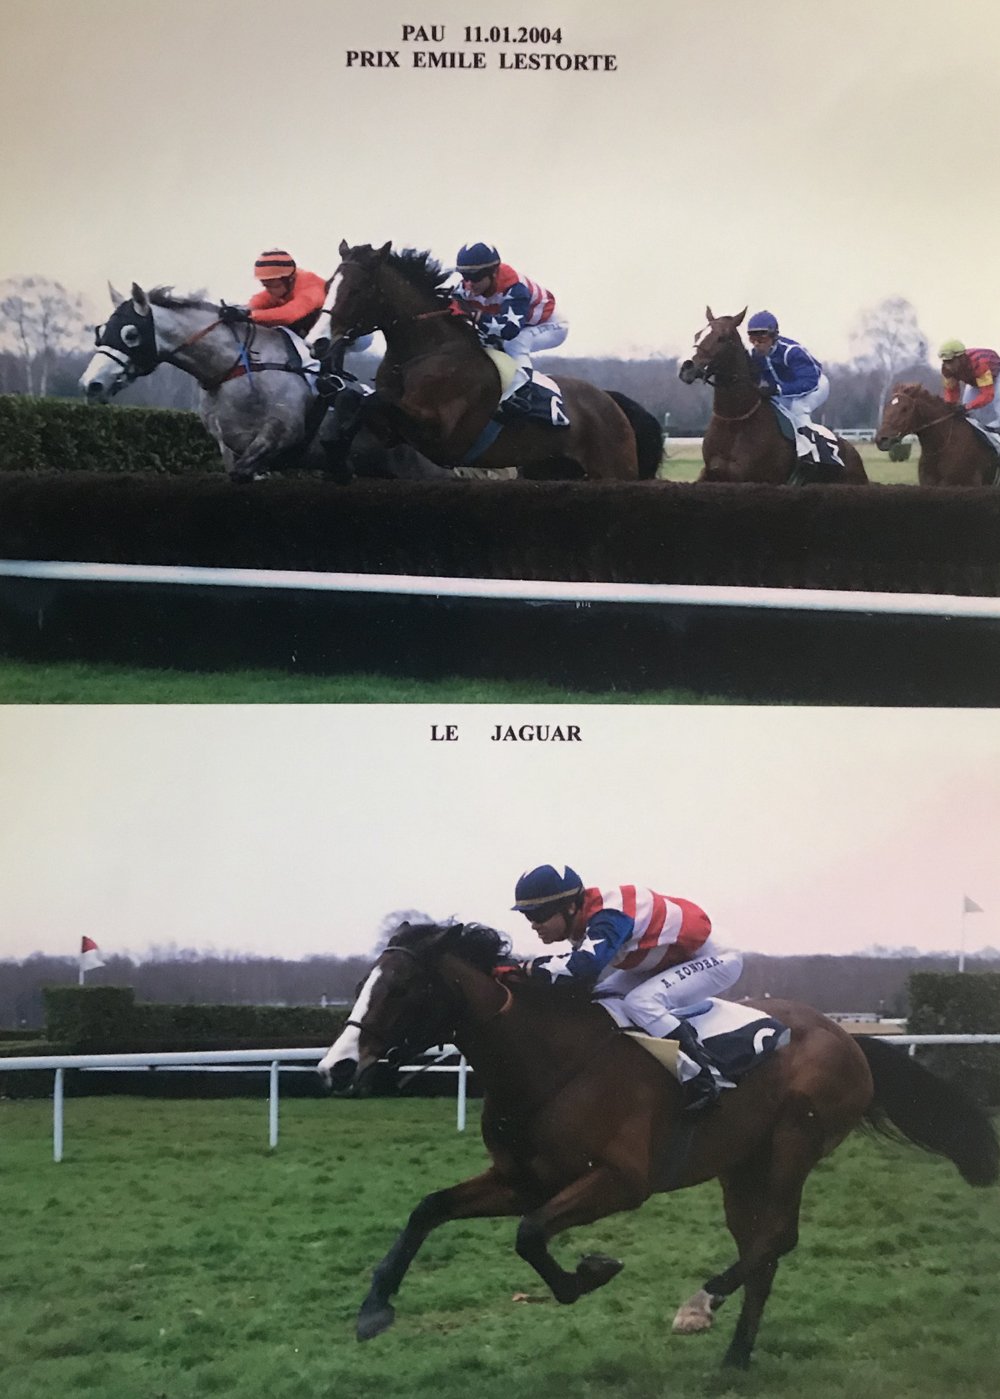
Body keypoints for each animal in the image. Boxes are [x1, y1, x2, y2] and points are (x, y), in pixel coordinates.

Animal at [306, 242, 663, 481]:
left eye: (357, 289)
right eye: (329, 285)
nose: (317, 343)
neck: (427, 350)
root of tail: (611, 401)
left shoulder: (441, 434)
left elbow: (373, 400)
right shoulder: (395, 432)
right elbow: (358, 401)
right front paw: (335, 453)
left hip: (613, 469)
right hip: (548, 470)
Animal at [319, 921, 997, 1368]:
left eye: (403, 988)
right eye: (360, 984)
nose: (336, 1068)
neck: (548, 1062)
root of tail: (846, 1036)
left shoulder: (621, 1182)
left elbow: (530, 1235)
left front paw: (591, 1271)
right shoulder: (522, 1179)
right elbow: (428, 1208)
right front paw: (374, 1307)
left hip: (793, 1143)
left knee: (777, 1238)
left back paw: (702, 1302)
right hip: (740, 1165)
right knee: (763, 1249)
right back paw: (735, 1357)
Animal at [678, 308, 868, 484]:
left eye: (721, 338)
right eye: (697, 335)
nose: (687, 369)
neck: (734, 422)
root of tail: (851, 450)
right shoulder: (711, 474)